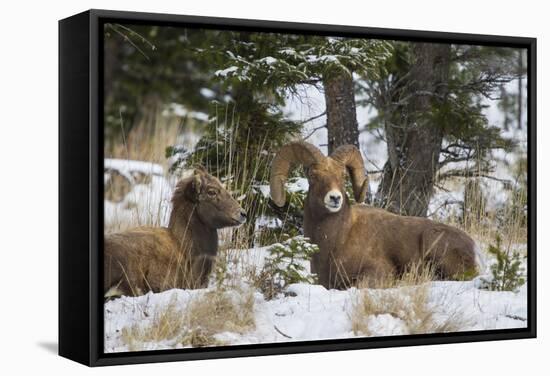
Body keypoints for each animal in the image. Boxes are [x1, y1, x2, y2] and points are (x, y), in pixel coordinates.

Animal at [270, 142, 484, 290]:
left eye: (343, 176)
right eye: (313, 176)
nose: (335, 198)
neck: (334, 241)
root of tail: (474, 249)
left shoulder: (378, 272)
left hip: (433, 241)